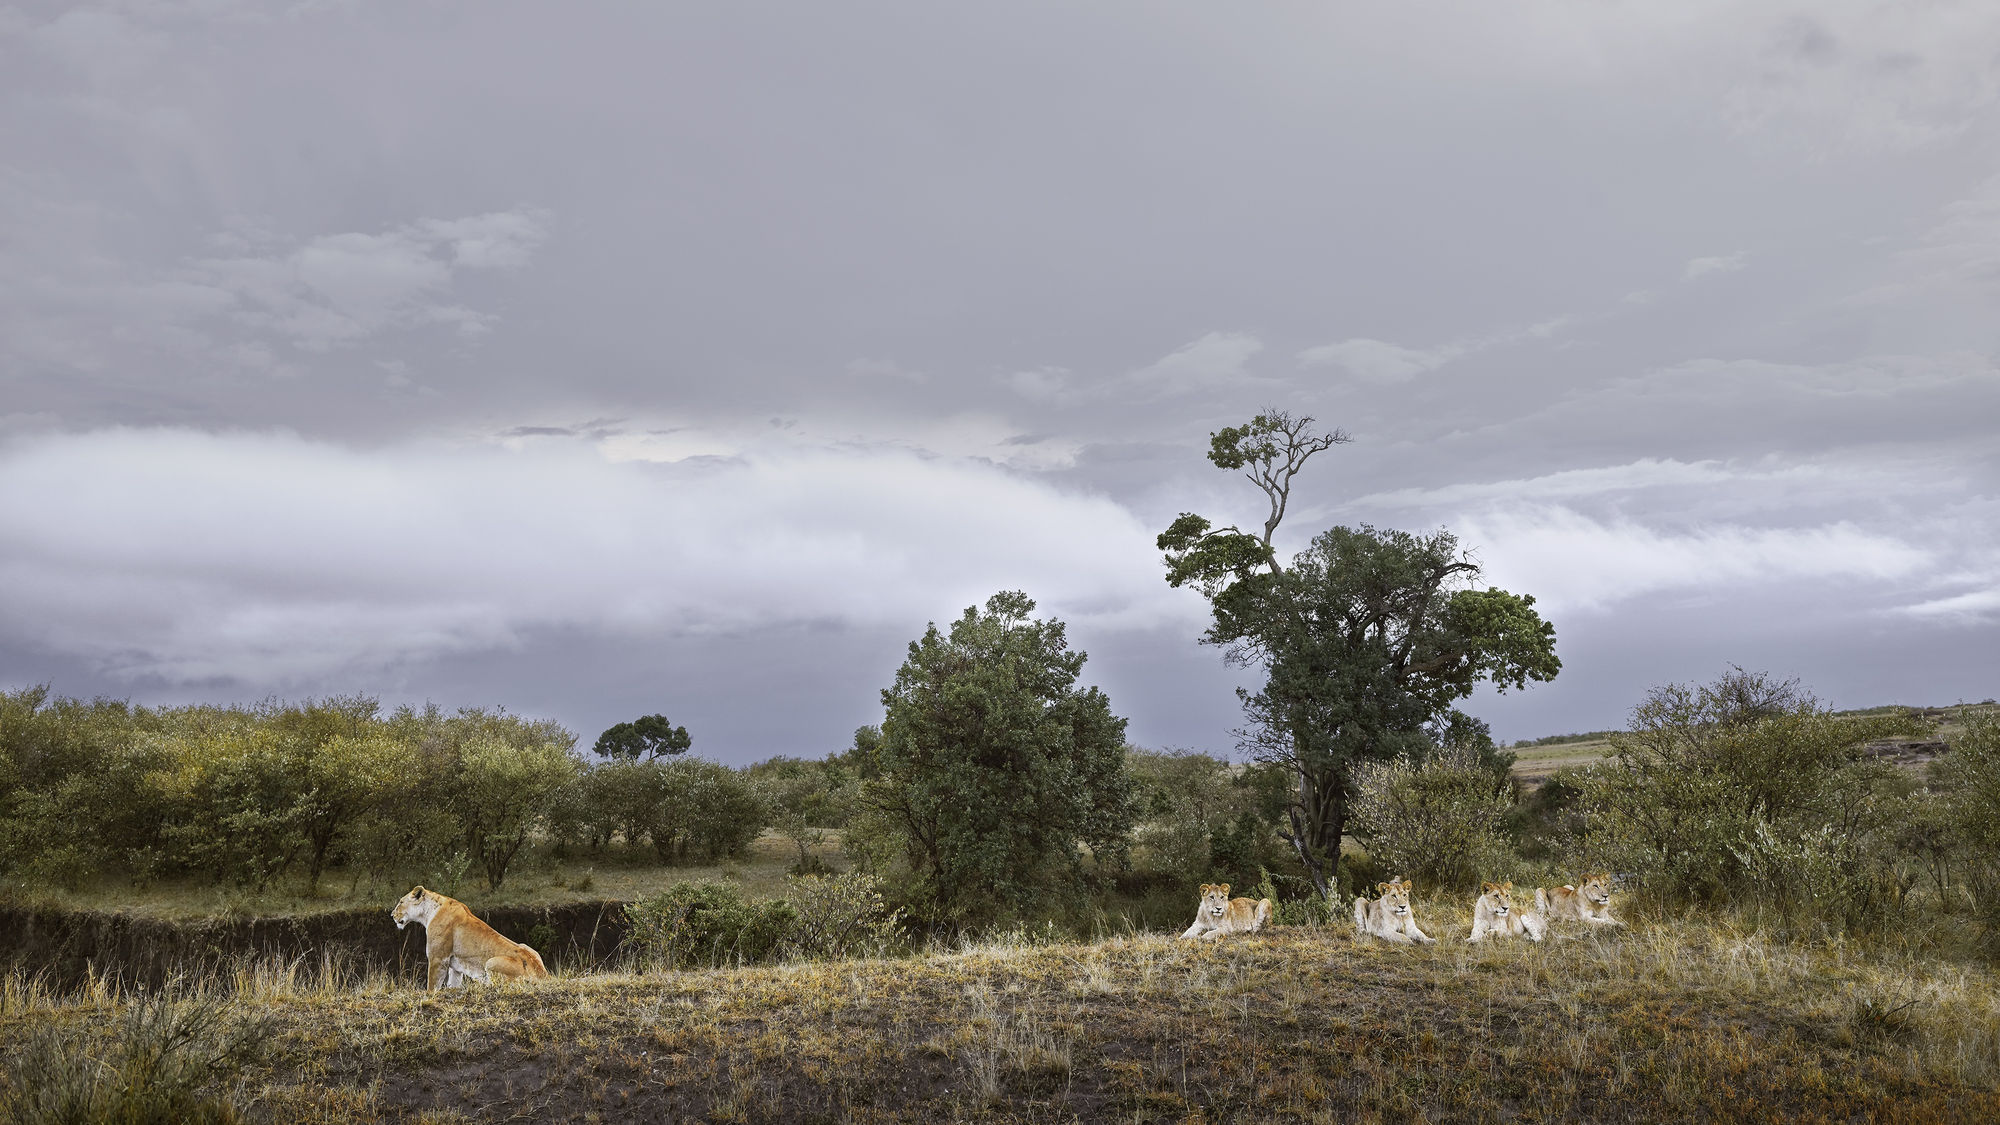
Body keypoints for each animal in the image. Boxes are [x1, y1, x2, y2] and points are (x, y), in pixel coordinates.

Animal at [391, 885, 549, 990]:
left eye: (400, 902)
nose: (392, 915)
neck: (427, 913)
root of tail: (542, 975)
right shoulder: (454, 967)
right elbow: (453, 984)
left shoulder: (438, 958)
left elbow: (432, 985)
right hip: (526, 946)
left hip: (491, 963)